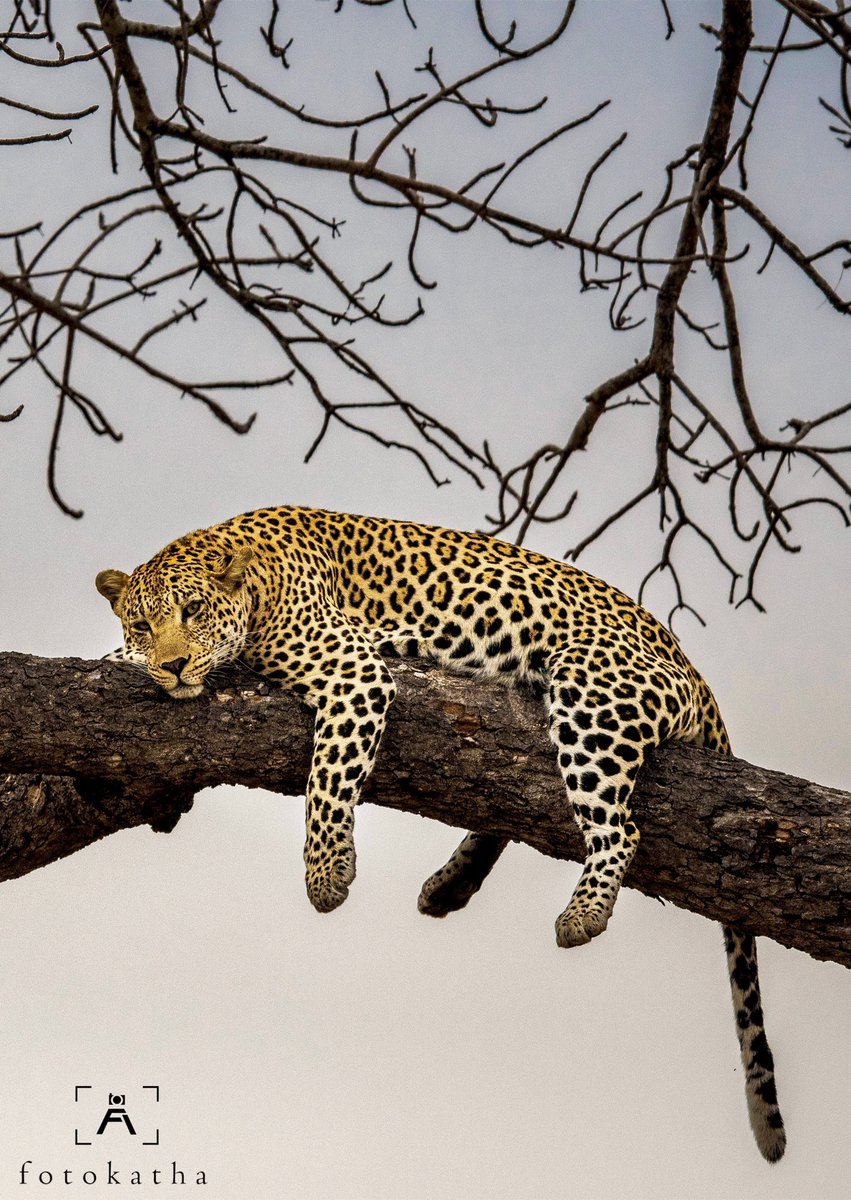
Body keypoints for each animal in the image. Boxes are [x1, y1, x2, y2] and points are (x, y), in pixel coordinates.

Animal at [95, 504, 785, 1162]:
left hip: (593, 693)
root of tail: (693, 669)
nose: (174, 665)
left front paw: (327, 873)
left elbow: (328, 776)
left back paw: (581, 913)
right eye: (143, 624)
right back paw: (450, 886)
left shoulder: (354, 673)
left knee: (620, 829)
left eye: (193, 610)